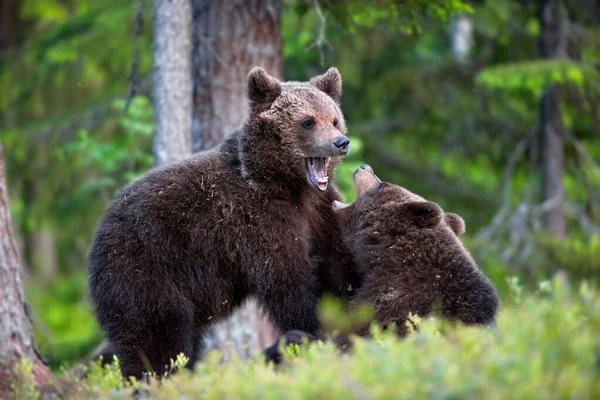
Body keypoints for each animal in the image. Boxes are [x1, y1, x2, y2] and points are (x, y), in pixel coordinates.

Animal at [86, 66, 358, 378]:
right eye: (308, 122)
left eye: (334, 119)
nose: (341, 142)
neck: (289, 187)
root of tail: (99, 230)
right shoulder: (260, 222)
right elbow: (288, 280)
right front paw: (312, 330)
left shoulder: (319, 212)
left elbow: (337, 260)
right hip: (143, 268)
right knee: (155, 334)